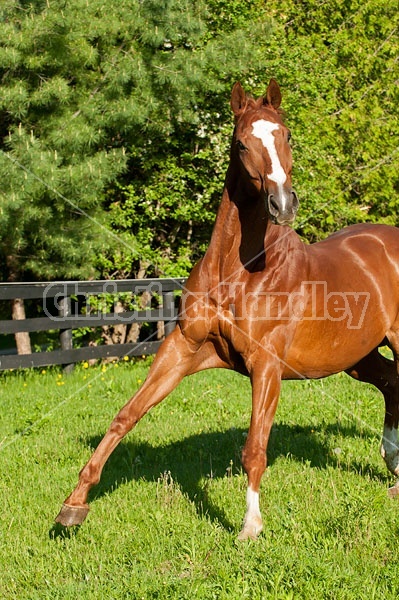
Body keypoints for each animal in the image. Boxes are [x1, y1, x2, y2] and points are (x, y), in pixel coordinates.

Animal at [56, 77, 399, 540]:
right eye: (240, 143)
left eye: (286, 135)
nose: (283, 204)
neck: (240, 271)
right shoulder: (182, 349)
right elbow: (126, 416)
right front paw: (74, 504)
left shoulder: (265, 363)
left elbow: (254, 448)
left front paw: (250, 526)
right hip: (357, 357)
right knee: (392, 383)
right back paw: (394, 468)